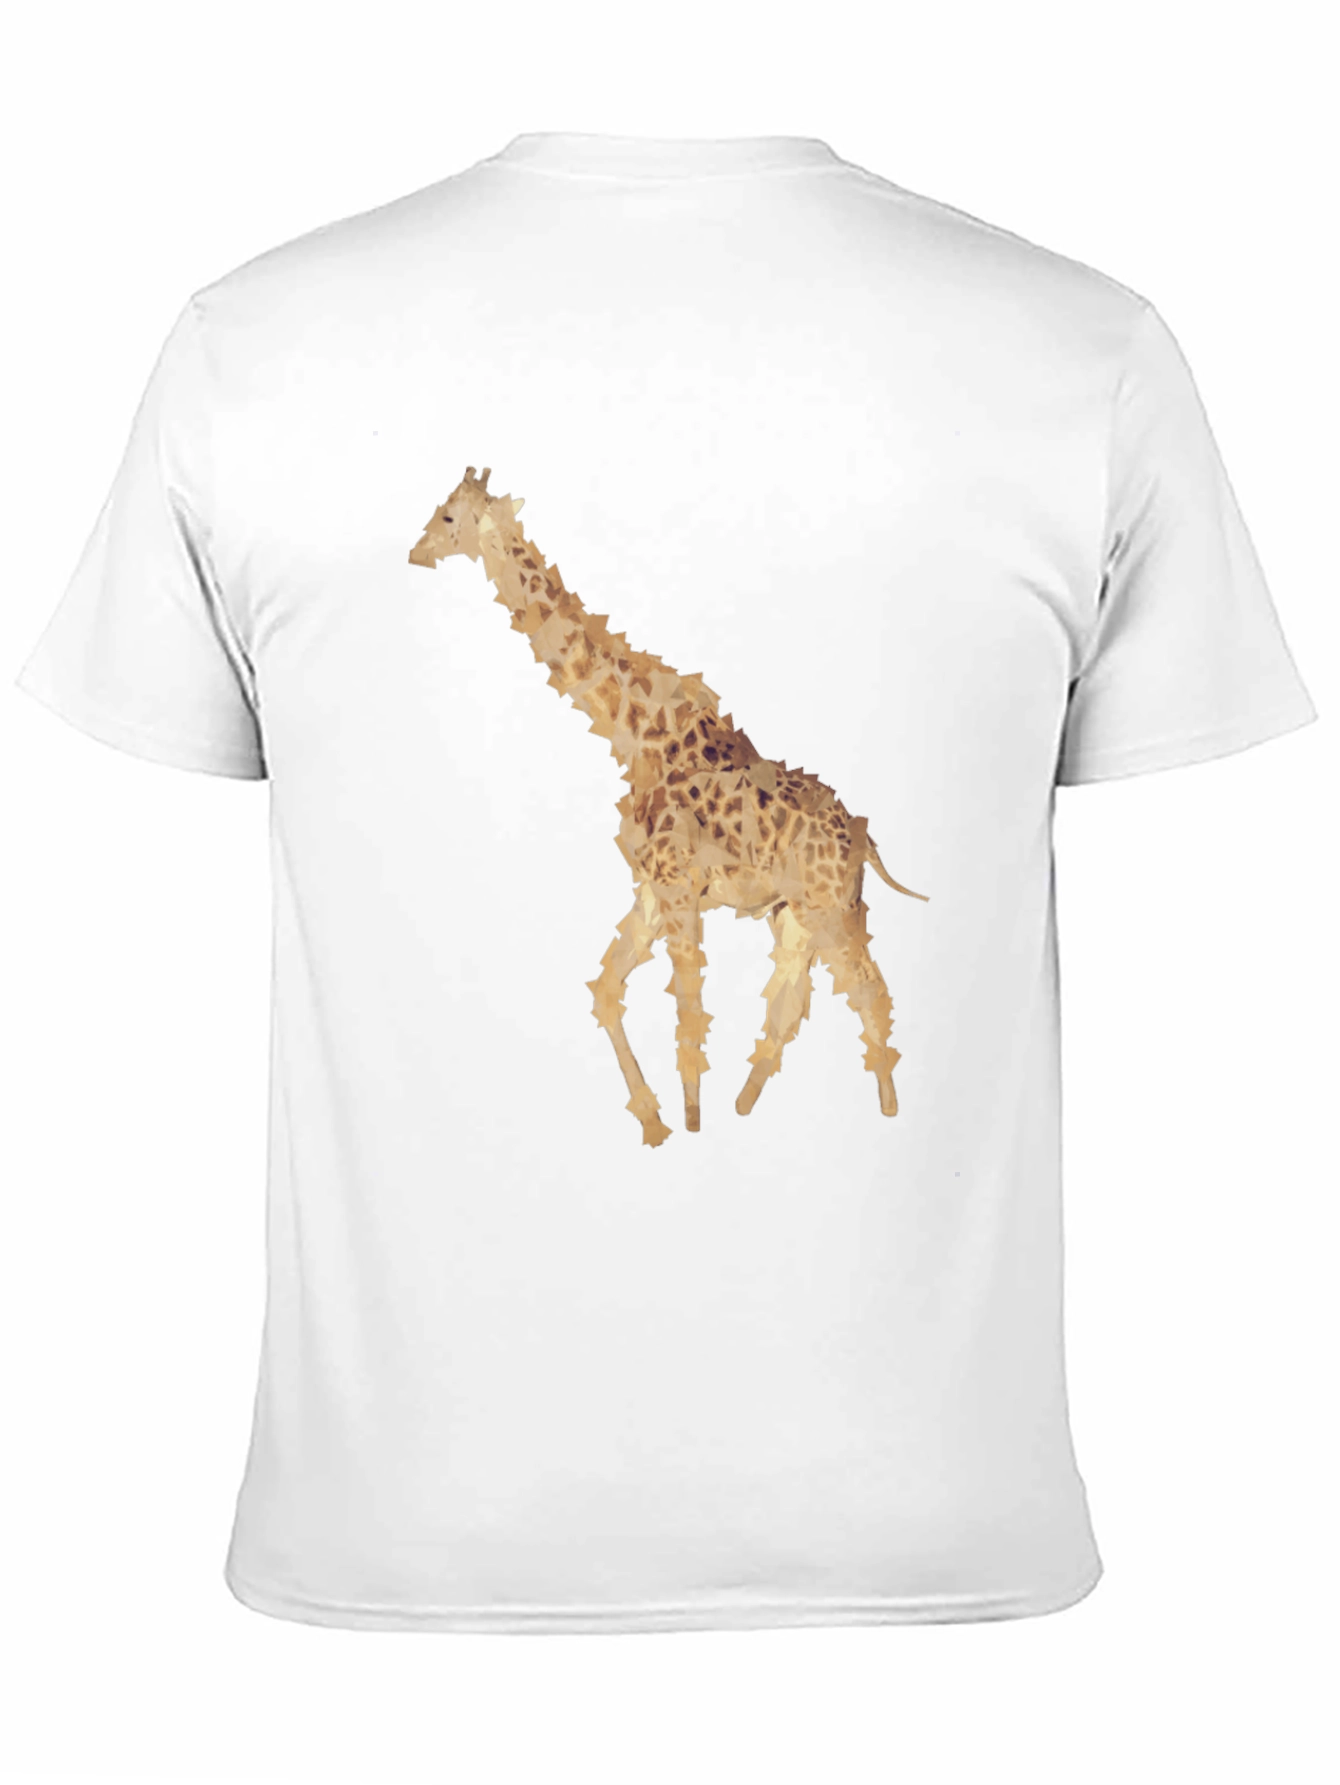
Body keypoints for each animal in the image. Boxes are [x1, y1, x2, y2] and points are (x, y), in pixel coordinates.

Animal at [409, 466, 928, 1148]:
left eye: (448, 517)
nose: (415, 553)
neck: (633, 735)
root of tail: (863, 836)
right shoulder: (651, 891)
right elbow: (607, 992)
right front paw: (657, 1121)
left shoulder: (680, 888)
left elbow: (688, 1014)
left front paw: (690, 1122)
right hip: (793, 913)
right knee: (792, 999)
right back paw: (746, 1105)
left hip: (831, 907)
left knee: (869, 990)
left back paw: (888, 1110)